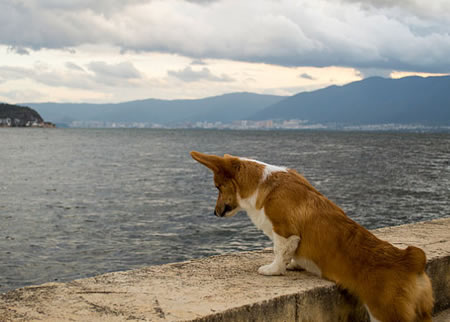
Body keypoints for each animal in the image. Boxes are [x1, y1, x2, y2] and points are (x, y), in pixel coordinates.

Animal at [190, 152, 432, 322]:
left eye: (218, 187)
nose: (214, 212)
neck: (261, 183)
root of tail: (412, 261)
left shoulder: (285, 231)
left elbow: (279, 252)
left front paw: (273, 270)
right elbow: (290, 255)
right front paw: (294, 265)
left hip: (386, 313)